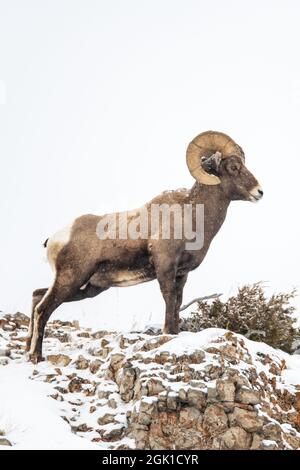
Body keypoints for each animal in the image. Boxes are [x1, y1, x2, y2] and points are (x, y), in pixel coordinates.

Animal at [25, 130, 262, 362]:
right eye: (233, 167)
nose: (259, 192)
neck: (192, 215)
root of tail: (55, 238)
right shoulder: (165, 267)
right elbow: (169, 299)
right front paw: (168, 333)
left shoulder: (181, 274)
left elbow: (177, 302)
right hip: (71, 279)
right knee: (43, 309)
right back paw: (36, 356)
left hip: (87, 288)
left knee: (37, 295)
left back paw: (28, 348)